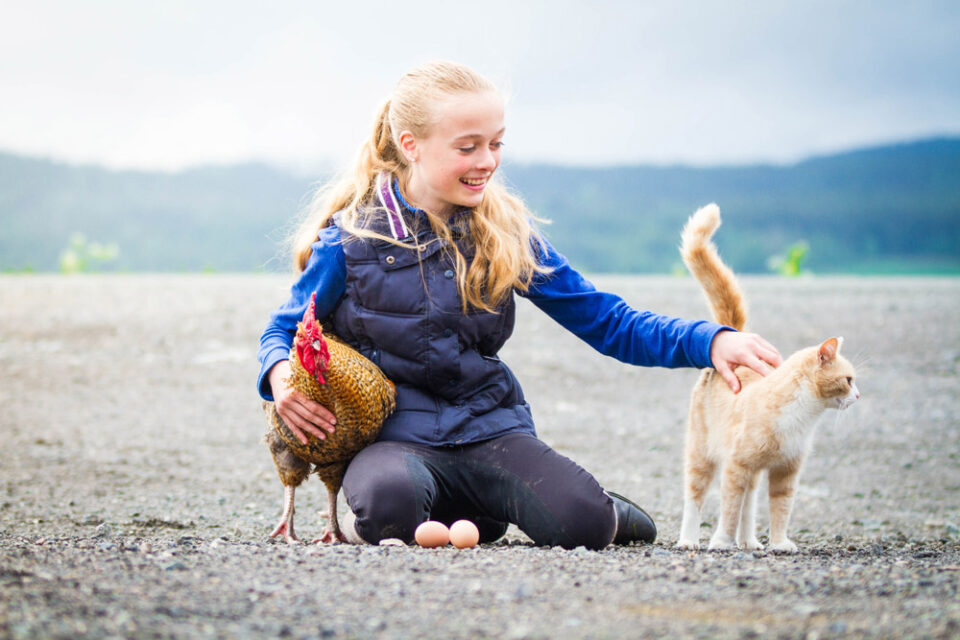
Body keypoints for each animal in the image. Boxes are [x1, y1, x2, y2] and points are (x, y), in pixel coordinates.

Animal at [676, 206, 864, 556]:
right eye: (848, 380)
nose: (858, 396)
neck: (803, 415)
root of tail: (733, 336)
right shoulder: (736, 466)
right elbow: (728, 508)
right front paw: (720, 541)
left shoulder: (785, 471)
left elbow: (779, 509)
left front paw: (779, 543)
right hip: (702, 455)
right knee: (695, 497)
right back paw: (689, 538)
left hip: (754, 473)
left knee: (749, 507)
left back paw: (749, 541)